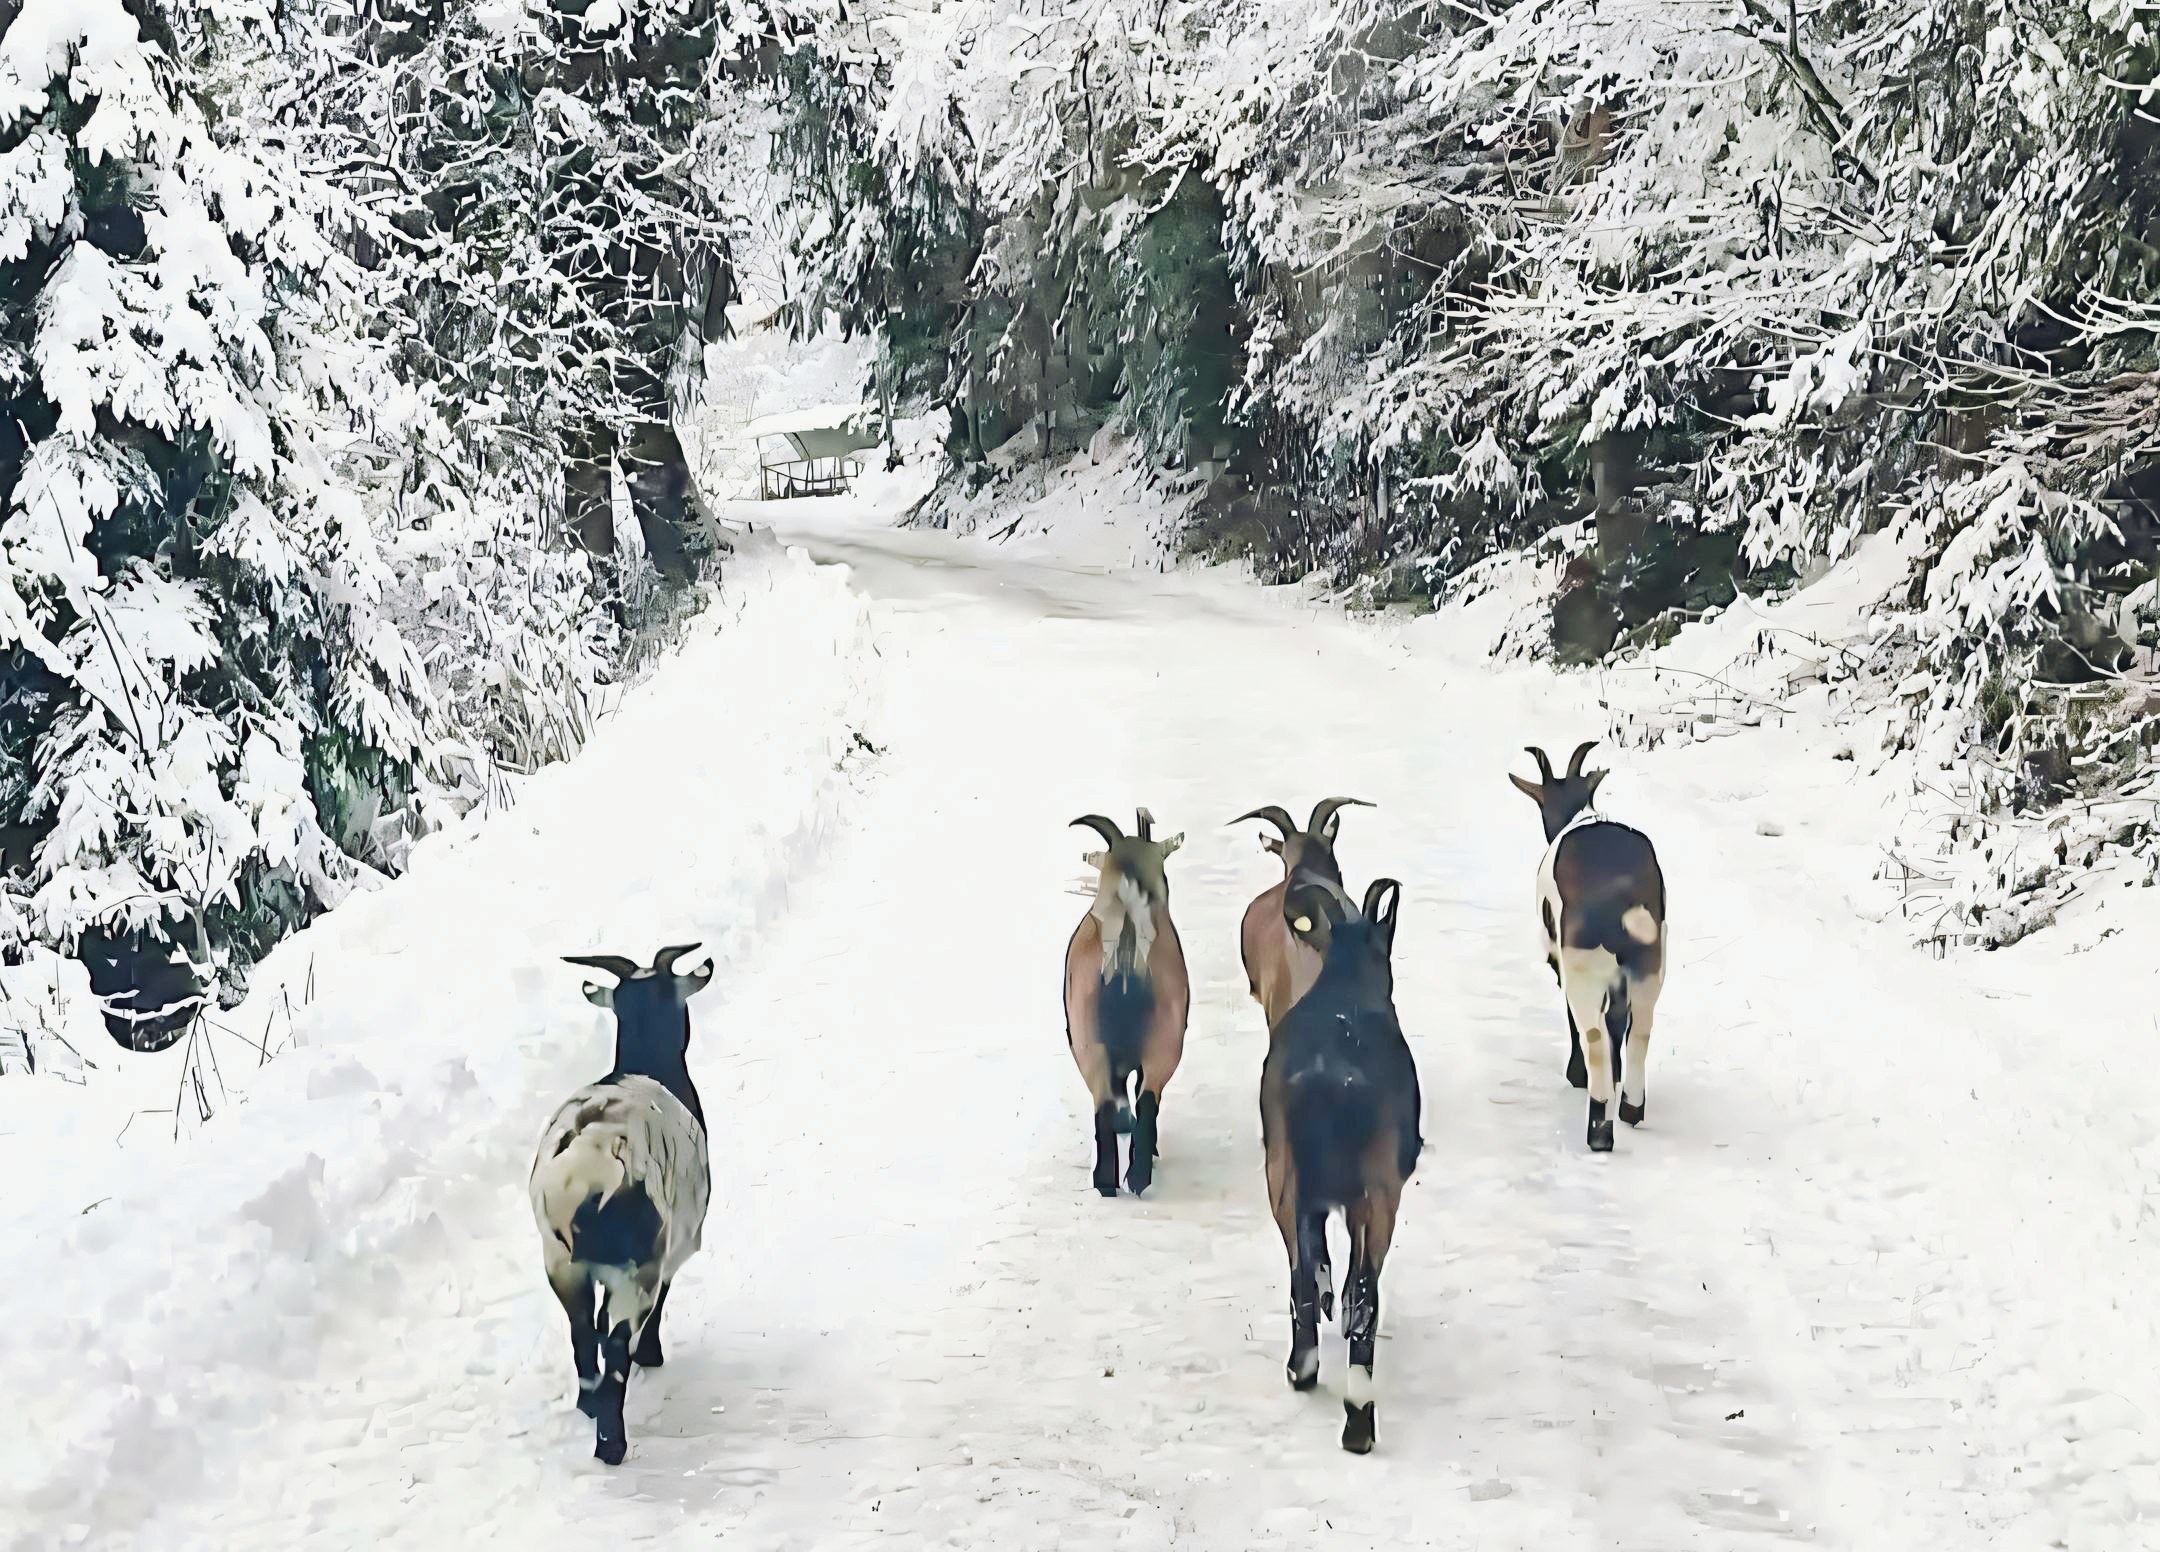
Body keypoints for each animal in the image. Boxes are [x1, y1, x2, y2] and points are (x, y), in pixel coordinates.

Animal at [530, 944, 713, 1464]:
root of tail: (589, 1164)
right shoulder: (674, 1246)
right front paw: (652, 1355)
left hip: (560, 1262)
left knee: (580, 1334)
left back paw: (588, 1406)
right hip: (635, 1268)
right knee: (613, 1346)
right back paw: (611, 1444)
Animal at [1063, 808, 1190, 1197]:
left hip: (1092, 1041)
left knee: (1114, 1103)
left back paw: (1111, 1181)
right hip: (1161, 1039)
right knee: (1142, 1099)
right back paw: (1134, 1177)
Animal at [1259, 874, 1420, 1454]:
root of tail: (1335, 1078)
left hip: (1286, 1172)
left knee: (1303, 1271)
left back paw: (1310, 1373)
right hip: (1374, 1187)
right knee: (1359, 1292)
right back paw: (1354, 1417)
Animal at [1510, 741, 1668, 1152]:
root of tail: (1620, 895)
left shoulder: (1561, 960)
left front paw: (1575, 1075)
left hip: (1585, 965)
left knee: (1593, 1034)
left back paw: (1600, 1129)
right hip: (1650, 964)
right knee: (1639, 1027)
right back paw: (1630, 1107)